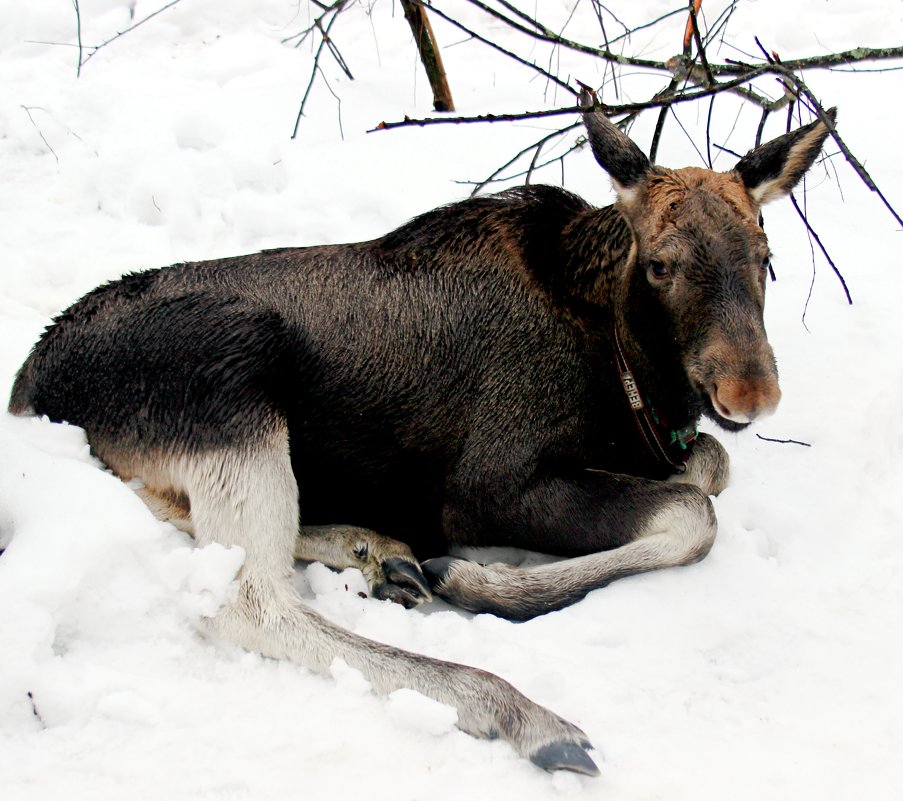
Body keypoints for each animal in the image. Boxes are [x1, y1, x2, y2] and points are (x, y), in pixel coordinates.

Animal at [8, 95, 832, 776]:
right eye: (660, 264)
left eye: (766, 259)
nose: (751, 391)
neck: (626, 372)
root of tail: (29, 388)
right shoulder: (487, 486)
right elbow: (695, 512)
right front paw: (480, 582)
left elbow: (710, 468)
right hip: (234, 381)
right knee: (249, 600)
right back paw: (506, 702)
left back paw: (377, 553)